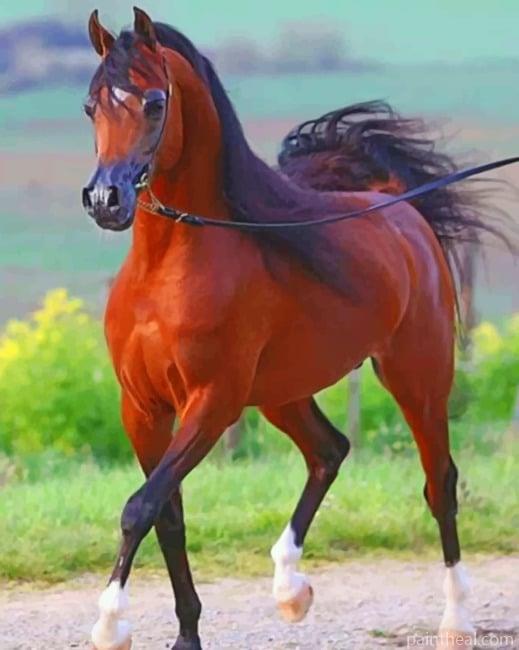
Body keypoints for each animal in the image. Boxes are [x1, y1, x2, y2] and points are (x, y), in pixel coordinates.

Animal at [82, 8, 510, 649]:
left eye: (154, 103)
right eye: (91, 104)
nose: (106, 200)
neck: (166, 269)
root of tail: (399, 207)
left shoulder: (211, 404)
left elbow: (140, 508)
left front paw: (110, 624)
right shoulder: (143, 406)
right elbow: (167, 515)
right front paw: (185, 634)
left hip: (417, 377)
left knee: (440, 483)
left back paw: (456, 620)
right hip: (281, 393)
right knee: (330, 450)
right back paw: (290, 589)